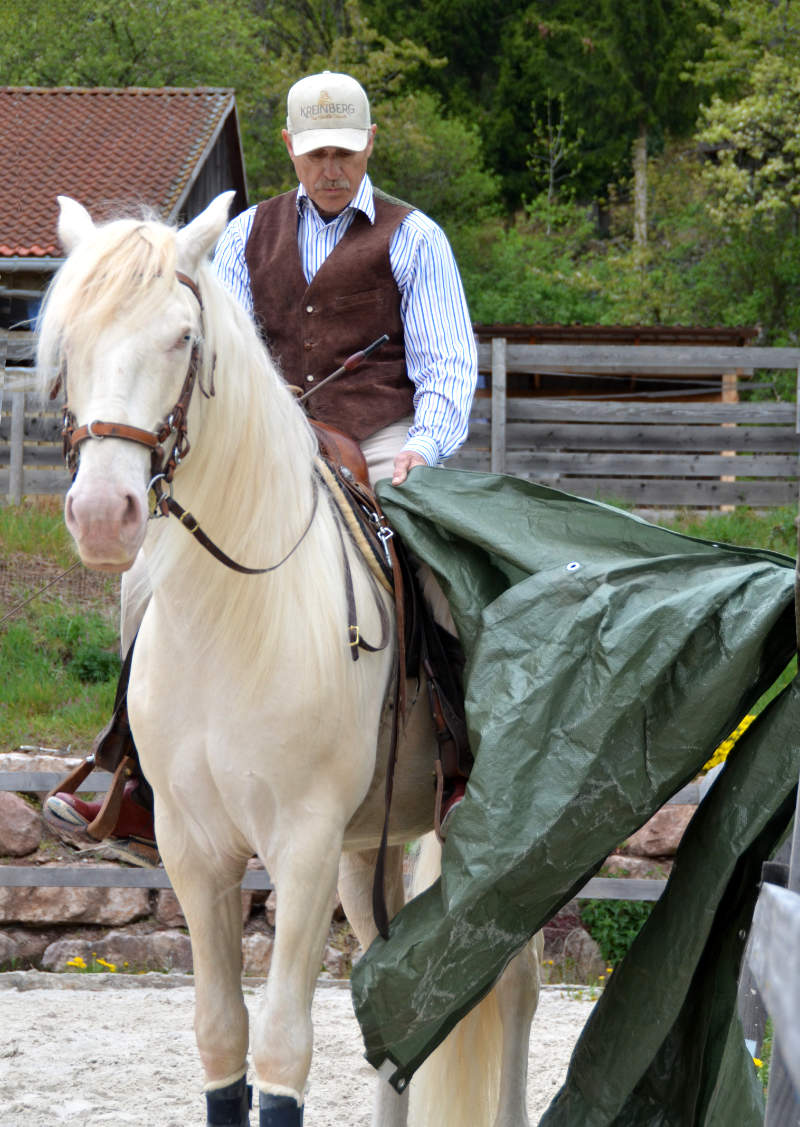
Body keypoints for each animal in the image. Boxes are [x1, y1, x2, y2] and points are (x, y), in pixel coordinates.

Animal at [36, 193, 538, 1127]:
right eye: (70, 339)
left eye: (182, 339)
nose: (103, 514)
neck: (234, 618)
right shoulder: (194, 848)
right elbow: (221, 1038)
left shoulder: (301, 846)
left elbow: (279, 1050)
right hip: (367, 851)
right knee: (387, 981)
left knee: (514, 982)